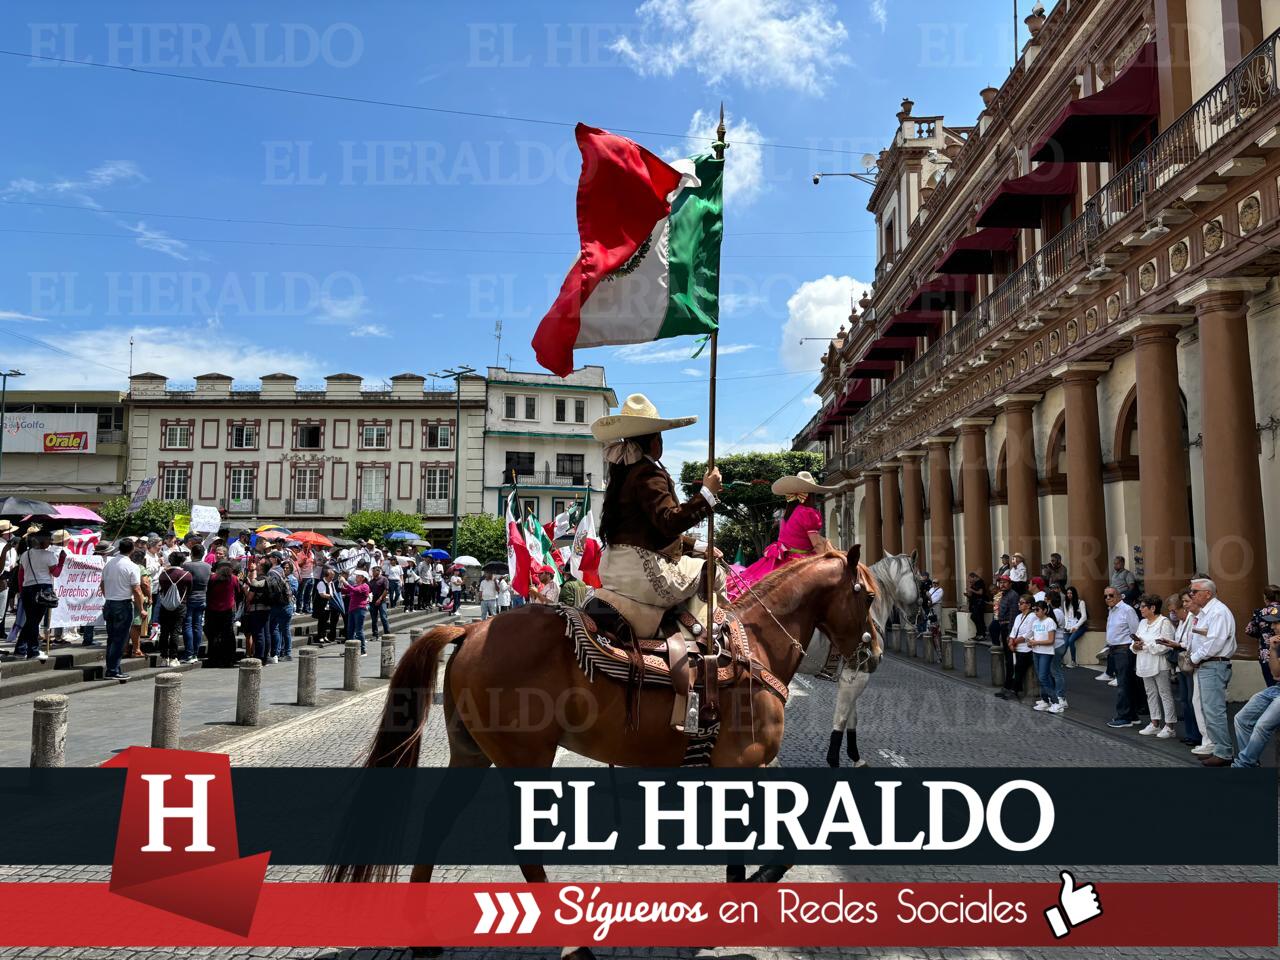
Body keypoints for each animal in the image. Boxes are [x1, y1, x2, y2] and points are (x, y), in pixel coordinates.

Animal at [330, 547, 875, 957]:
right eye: (867, 594)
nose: (871, 653)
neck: (756, 646)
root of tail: (473, 629)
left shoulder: (752, 764)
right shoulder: (743, 762)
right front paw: (751, 886)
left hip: (472, 752)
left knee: (438, 818)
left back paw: (422, 938)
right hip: (524, 756)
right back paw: (573, 945)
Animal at [829, 552, 921, 773]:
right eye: (920, 579)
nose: (919, 614)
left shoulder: (853, 675)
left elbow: (851, 717)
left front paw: (855, 756)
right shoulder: (856, 675)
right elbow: (842, 718)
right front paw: (834, 759)